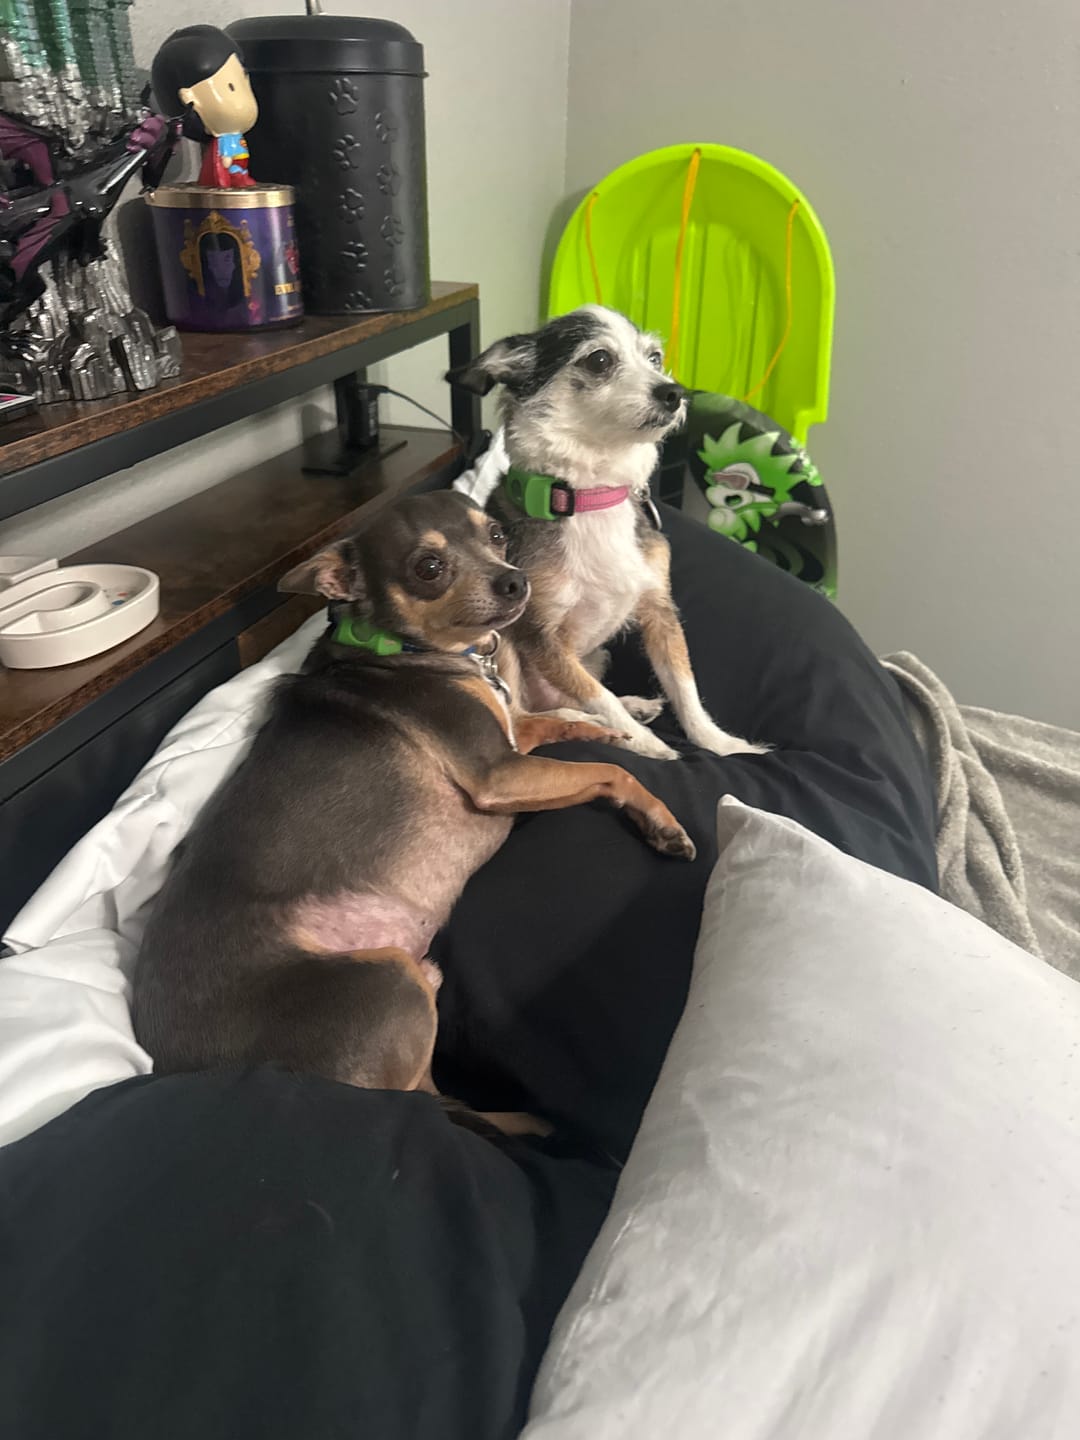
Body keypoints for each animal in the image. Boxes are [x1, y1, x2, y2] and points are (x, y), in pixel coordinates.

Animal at [132, 491, 695, 1138]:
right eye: (428, 568)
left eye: (497, 535)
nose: (516, 581)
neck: (409, 652)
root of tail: (181, 1069)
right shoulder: (497, 774)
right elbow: (610, 770)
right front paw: (661, 817)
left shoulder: (510, 738)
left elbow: (566, 721)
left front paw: (622, 719)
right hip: (388, 981)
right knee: (428, 1105)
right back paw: (529, 1127)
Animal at [448, 305, 767, 761]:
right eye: (599, 359)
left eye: (654, 358)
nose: (675, 392)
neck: (591, 495)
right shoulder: (538, 633)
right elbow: (602, 700)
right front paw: (650, 746)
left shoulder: (659, 610)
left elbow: (685, 689)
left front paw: (721, 743)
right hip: (502, 643)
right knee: (524, 720)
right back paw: (591, 725)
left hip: (596, 654)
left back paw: (635, 706)